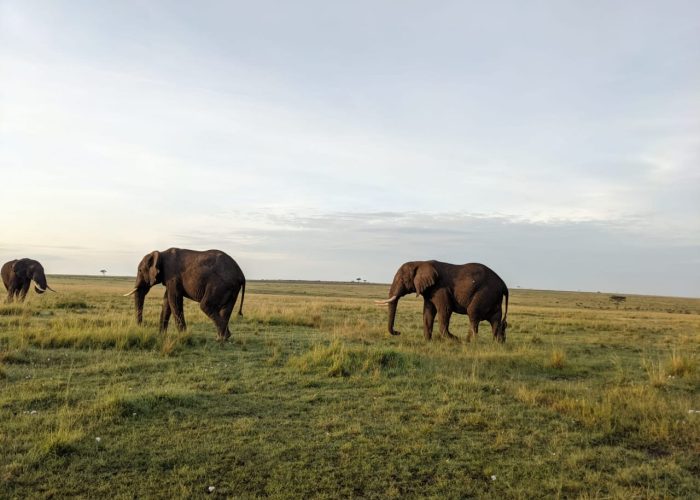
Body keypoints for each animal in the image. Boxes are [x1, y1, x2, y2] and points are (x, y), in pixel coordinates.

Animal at [372, 260, 508, 342]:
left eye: (402, 280)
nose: (398, 332)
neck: (421, 262)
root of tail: (503, 284)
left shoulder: (440, 288)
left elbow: (445, 309)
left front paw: (453, 339)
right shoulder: (430, 290)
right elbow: (428, 312)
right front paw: (427, 341)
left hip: (485, 293)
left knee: (473, 313)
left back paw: (468, 341)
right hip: (493, 297)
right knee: (495, 319)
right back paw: (497, 343)